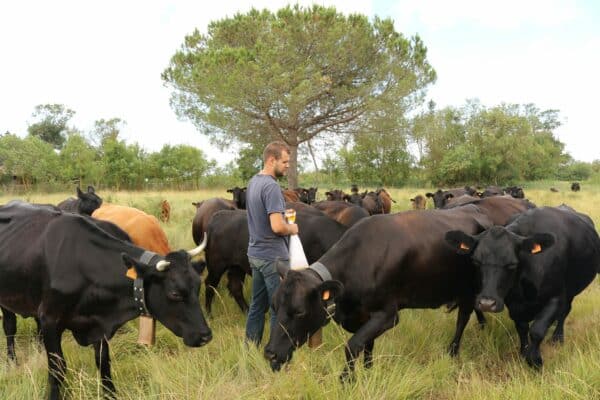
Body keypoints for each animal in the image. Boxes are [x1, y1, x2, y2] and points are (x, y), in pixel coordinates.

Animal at [0, 202, 211, 398]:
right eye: (175, 293)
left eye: (197, 286)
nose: (206, 335)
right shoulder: (50, 319)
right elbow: (57, 368)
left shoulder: (98, 325)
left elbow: (104, 363)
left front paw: (110, 394)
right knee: (9, 327)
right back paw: (12, 361)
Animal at [204, 208, 346, 314]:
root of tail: (219, 215)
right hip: (216, 266)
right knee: (210, 285)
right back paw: (209, 314)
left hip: (236, 267)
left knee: (235, 287)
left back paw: (246, 310)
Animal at [264, 206, 494, 378]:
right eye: (273, 305)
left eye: (300, 311)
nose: (270, 354)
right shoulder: (366, 315)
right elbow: (367, 346)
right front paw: (368, 371)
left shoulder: (388, 314)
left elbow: (352, 345)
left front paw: (347, 380)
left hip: (468, 288)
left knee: (462, 318)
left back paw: (453, 351)